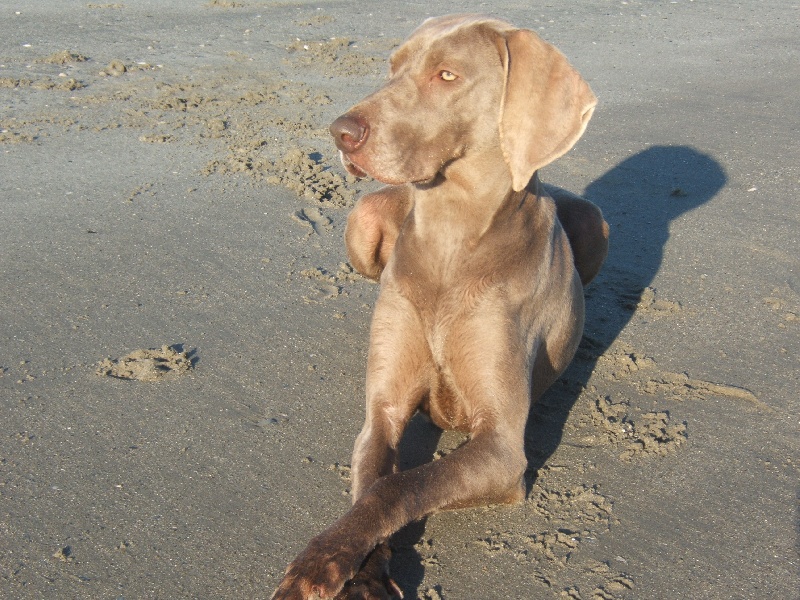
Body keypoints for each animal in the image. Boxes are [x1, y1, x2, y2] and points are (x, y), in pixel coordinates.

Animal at [272, 14, 609, 599]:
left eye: (447, 75)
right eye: (392, 66)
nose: (341, 132)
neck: (451, 237)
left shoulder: (501, 446)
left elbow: (397, 488)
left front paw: (318, 564)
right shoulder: (381, 412)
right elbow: (372, 484)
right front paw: (363, 574)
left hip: (593, 219)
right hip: (363, 220)